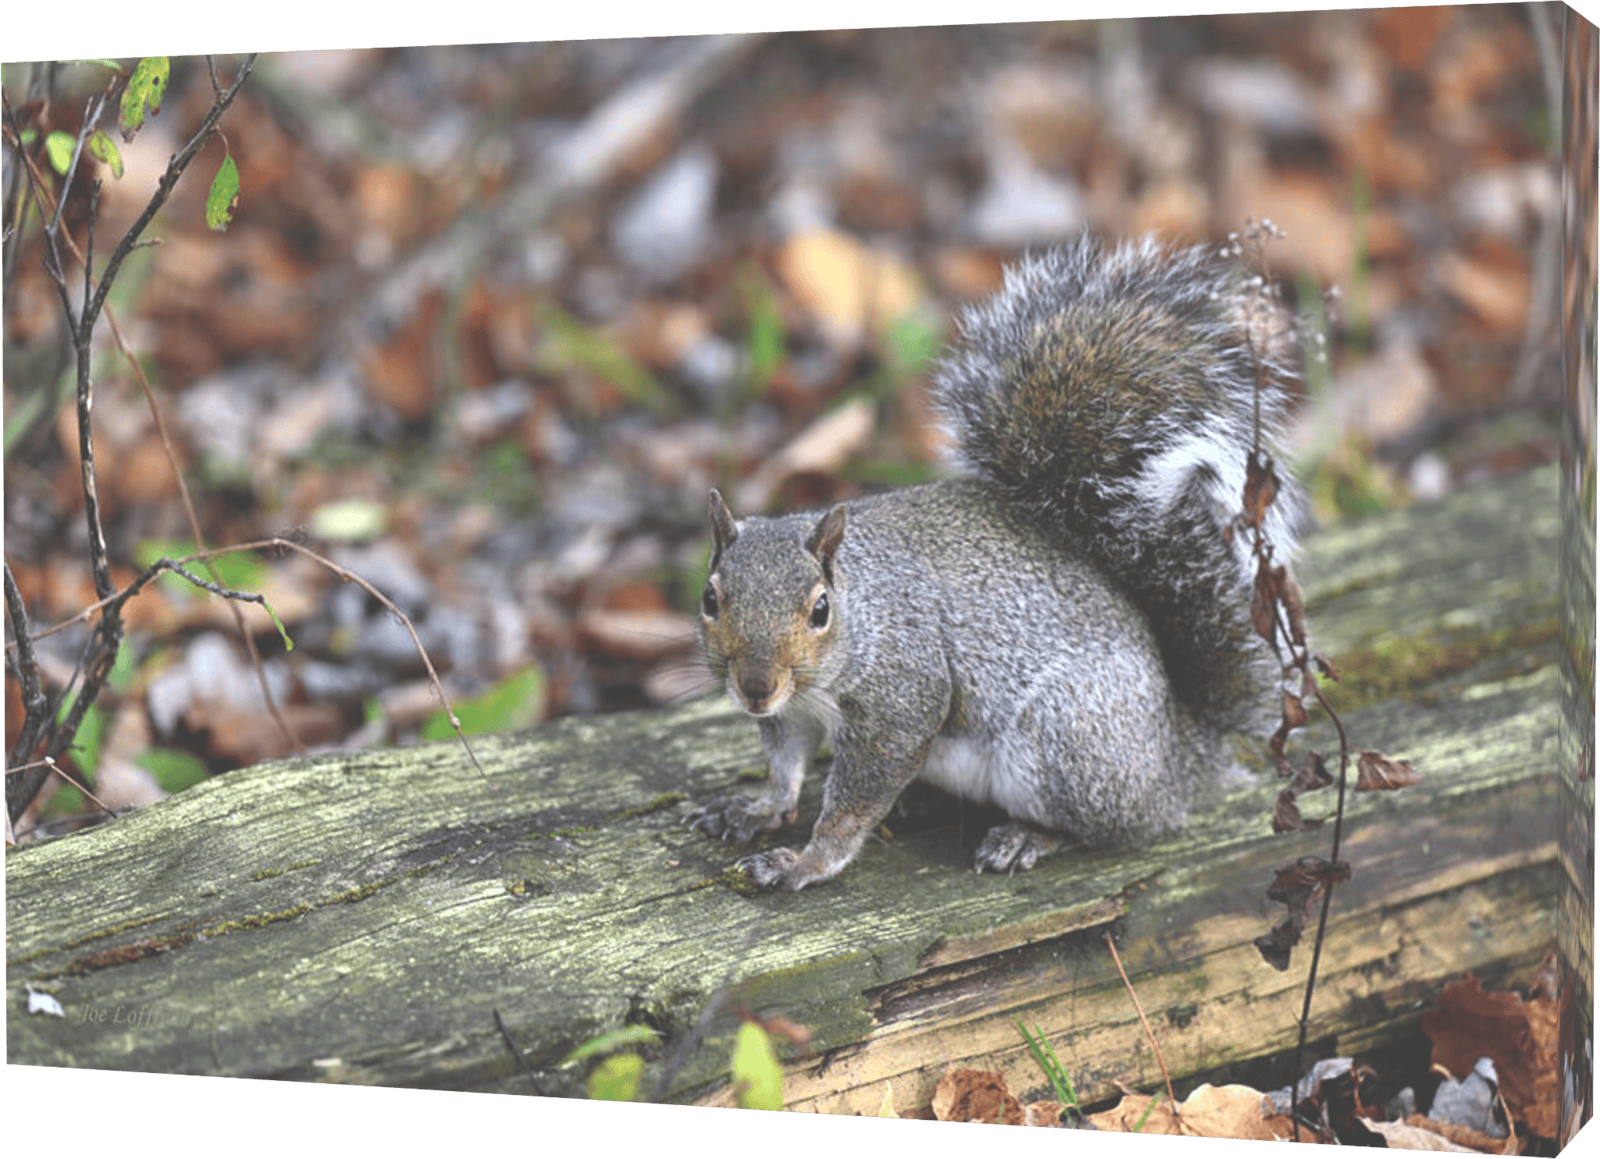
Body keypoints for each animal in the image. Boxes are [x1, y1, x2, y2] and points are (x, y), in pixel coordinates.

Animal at [686, 233, 1304, 892]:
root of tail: (1177, 763)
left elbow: (855, 800)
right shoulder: (791, 713)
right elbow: (783, 768)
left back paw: (1026, 837)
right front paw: (755, 811)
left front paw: (806, 861)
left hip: (1064, 746)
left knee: (1107, 829)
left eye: (820, 610)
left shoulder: (903, 698)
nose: (754, 687)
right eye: (710, 598)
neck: (861, 612)